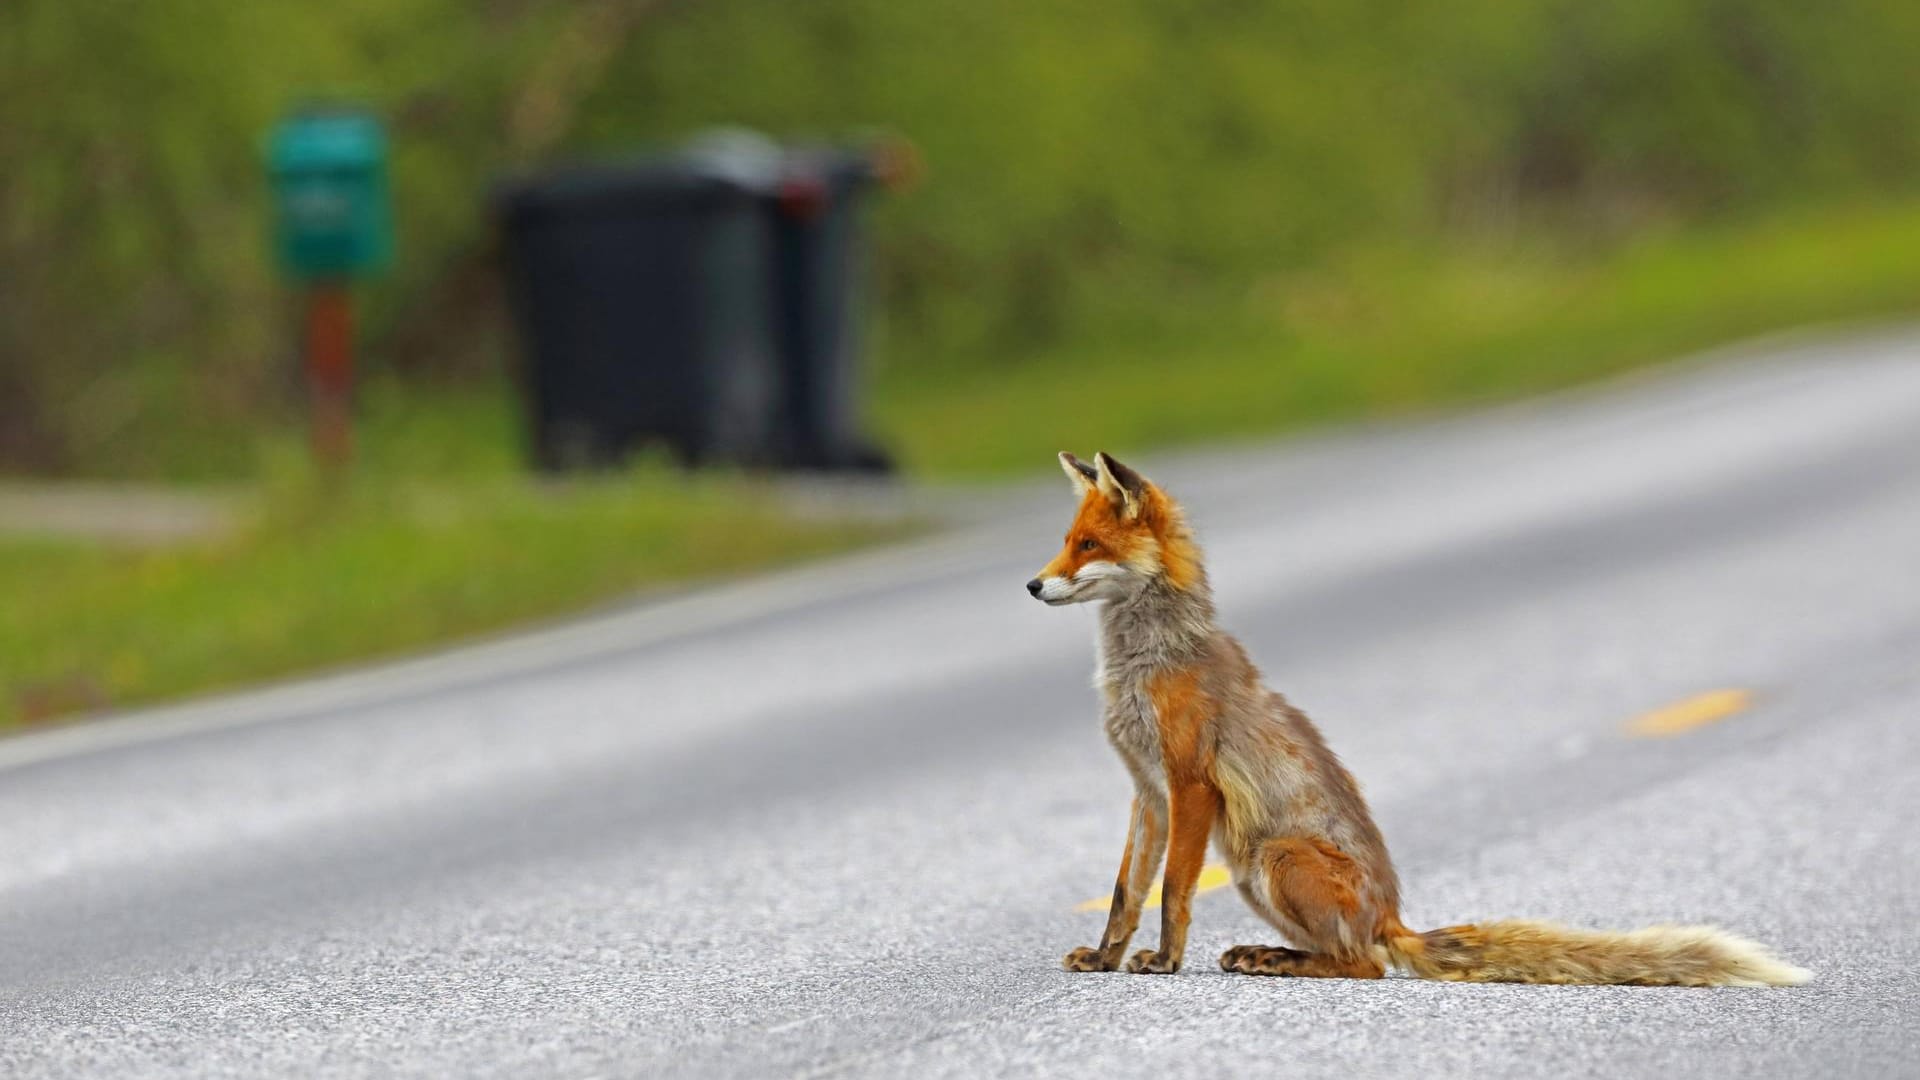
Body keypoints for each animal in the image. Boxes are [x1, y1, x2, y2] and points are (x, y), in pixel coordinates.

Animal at [1029, 449, 1804, 980]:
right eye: (1065, 540)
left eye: (1088, 546)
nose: (1033, 585)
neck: (1146, 663)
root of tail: (1393, 916)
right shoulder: (1148, 792)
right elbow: (1127, 892)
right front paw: (1105, 957)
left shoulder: (1189, 782)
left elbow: (1172, 893)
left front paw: (1163, 962)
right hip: (1251, 869)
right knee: (1350, 954)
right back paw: (1269, 952)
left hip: (1275, 856)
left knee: (1364, 965)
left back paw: (1282, 960)